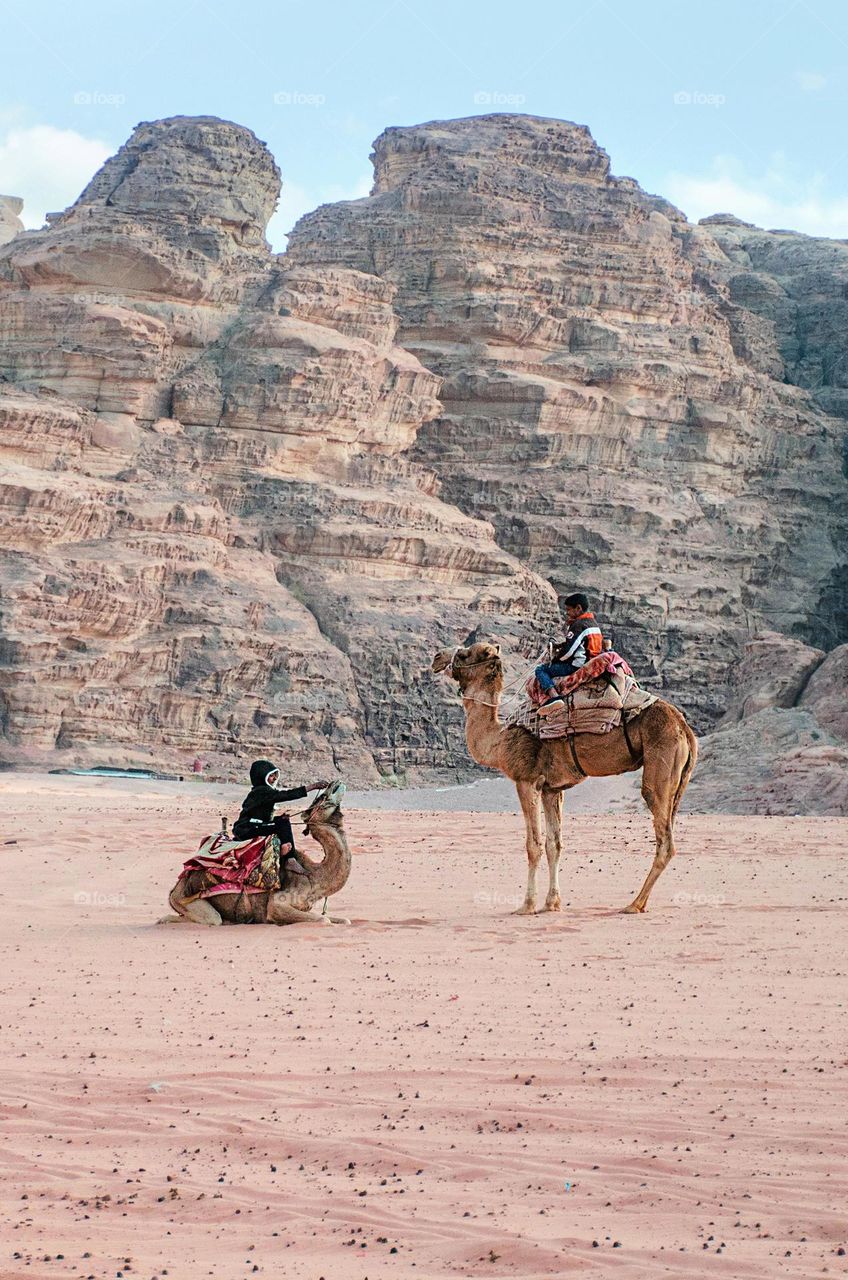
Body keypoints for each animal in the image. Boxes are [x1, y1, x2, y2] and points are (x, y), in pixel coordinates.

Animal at [167, 783, 353, 926]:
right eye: (320, 798)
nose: (334, 783)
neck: (313, 877)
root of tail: (175, 888)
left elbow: (345, 920)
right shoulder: (277, 904)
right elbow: (323, 920)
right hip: (187, 899)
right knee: (205, 919)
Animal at [435, 645, 701, 916]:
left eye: (465, 654)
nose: (437, 659)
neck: (500, 738)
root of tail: (685, 729)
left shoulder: (526, 779)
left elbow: (533, 845)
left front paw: (527, 905)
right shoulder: (552, 789)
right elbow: (554, 845)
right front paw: (552, 903)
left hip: (660, 765)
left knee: (664, 838)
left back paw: (634, 904)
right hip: (678, 779)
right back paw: (639, 902)